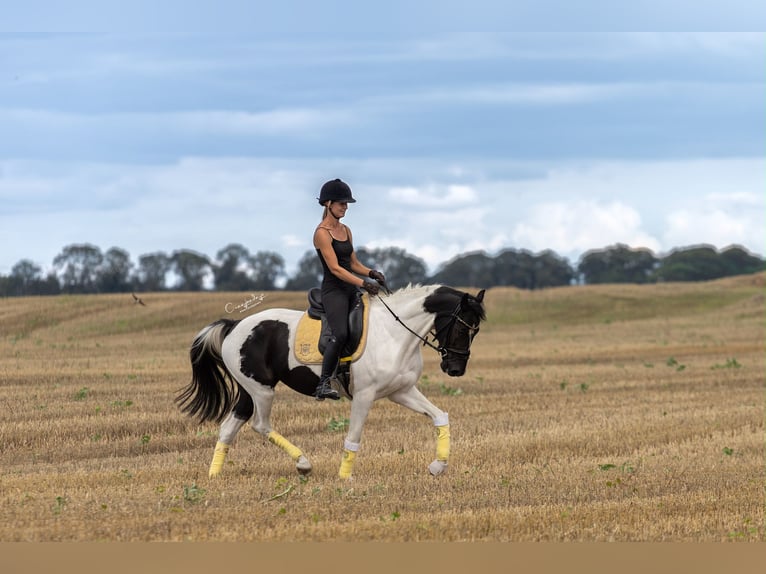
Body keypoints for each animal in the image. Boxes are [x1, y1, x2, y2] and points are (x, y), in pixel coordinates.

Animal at [175, 284, 486, 480]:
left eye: (476, 331)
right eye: (462, 328)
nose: (455, 369)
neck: (393, 333)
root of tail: (234, 326)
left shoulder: (402, 391)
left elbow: (440, 417)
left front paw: (437, 467)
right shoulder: (364, 395)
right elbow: (354, 437)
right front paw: (344, 478)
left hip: (248, 391)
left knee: (229, 427)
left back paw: (214, 475)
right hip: (261, 390)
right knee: (260, 424)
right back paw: (303, 464)